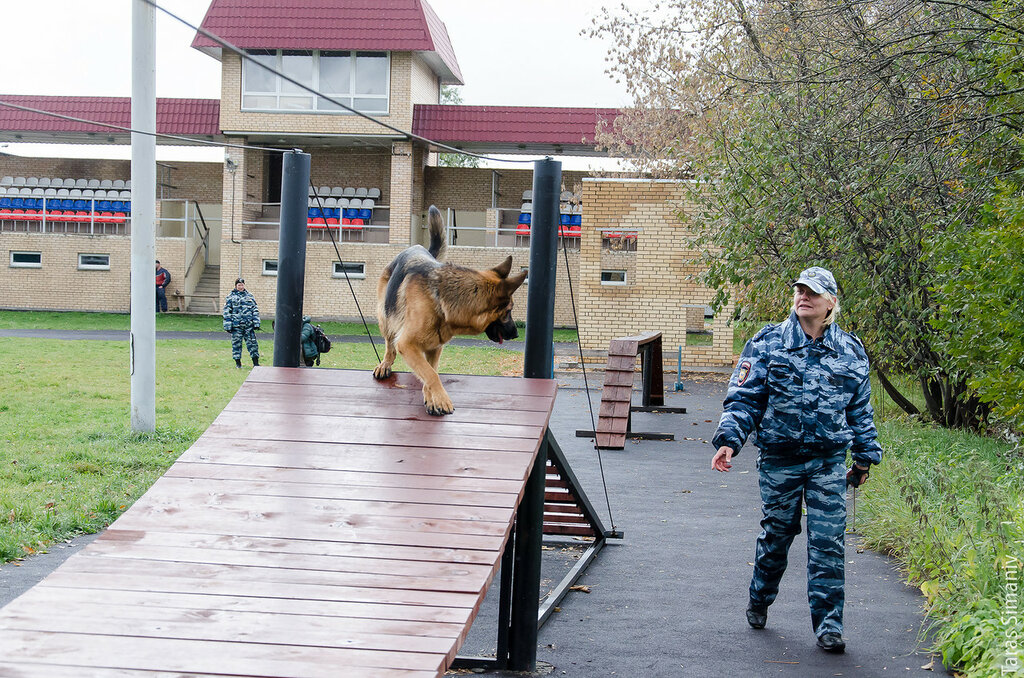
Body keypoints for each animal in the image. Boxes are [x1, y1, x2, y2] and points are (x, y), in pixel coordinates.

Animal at [372, 206, 524, 417]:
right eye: (509, 311)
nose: (517, 334)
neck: (440, 303)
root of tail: (416, 247)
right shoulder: (407, 344)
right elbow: (430, 374)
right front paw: (442, 400)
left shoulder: (435, 347)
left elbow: (431, 372)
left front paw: (431, 399)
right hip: (385, 316)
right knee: (389, 343)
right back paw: (385, 364)